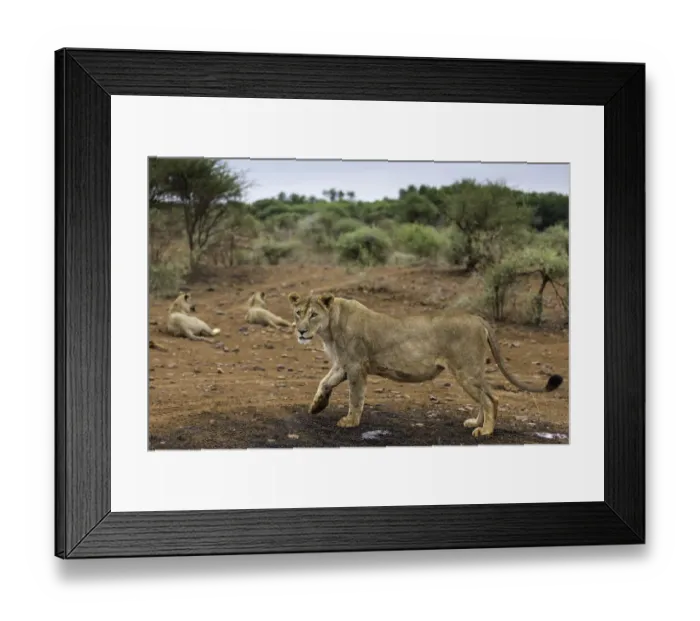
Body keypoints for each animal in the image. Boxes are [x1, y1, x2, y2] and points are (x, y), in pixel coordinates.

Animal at [288, 291, 564, 438]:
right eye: (298, 313)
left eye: (313, 315)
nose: (301, 331)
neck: (329, 330)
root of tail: (478, 318)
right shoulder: (343, 364)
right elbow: (324, 382)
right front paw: (316, 406)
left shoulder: (356, 366)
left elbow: (355, 398)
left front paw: (350, 421)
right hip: (473, 371)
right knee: (489, 396)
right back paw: (476, 423)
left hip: (465, 371)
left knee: (489, 399)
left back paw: (485, 431)